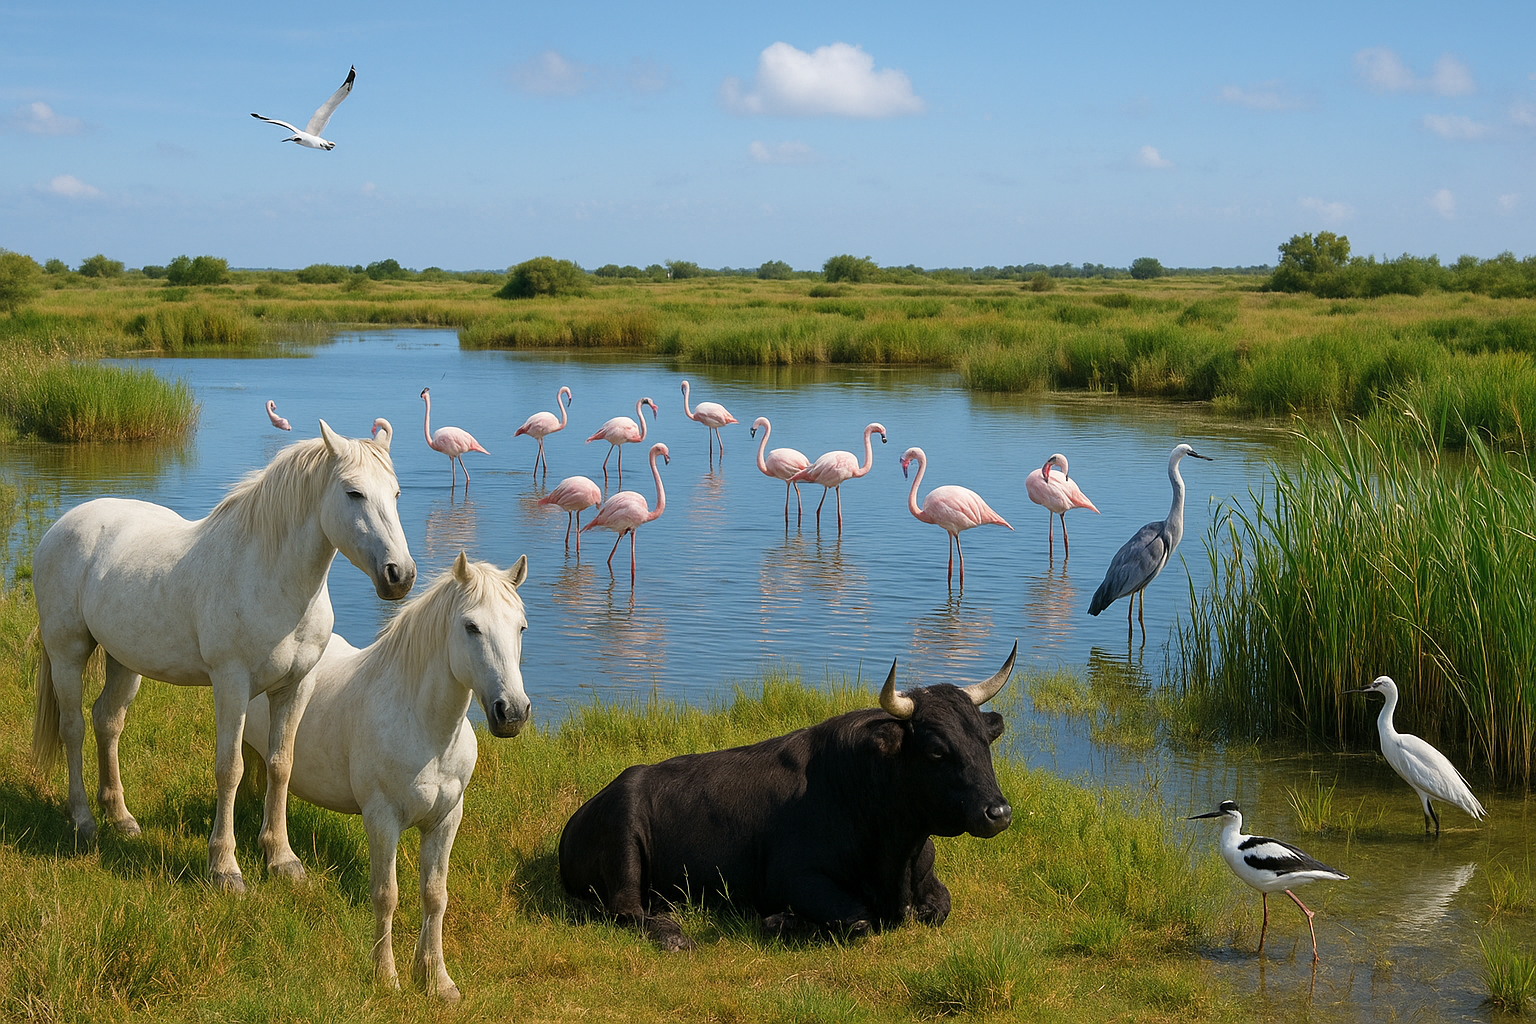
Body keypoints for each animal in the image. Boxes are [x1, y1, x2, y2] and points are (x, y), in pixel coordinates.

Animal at [32, 420, 416, 893]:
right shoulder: (232, 684)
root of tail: (62, 525)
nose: (400, 576)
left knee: (107, 721)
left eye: (395, 493)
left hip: (124, 661)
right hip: (67, 651)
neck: (269, 578)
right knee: (73, 729)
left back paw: (120, 818)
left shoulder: (296, 686)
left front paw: (281, 858)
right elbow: (229, 769)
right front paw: (224, 867)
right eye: (353, 493)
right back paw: (84, 820)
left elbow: (281, 765)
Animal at [242, 552, 531, 1001]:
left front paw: (436, 979)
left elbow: (435, 896)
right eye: (471, 626)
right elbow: (386, 895)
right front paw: (386, 976)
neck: (425, 730)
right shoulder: (382, 820)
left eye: (520, 626)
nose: (512, 712)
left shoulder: (446, 820)